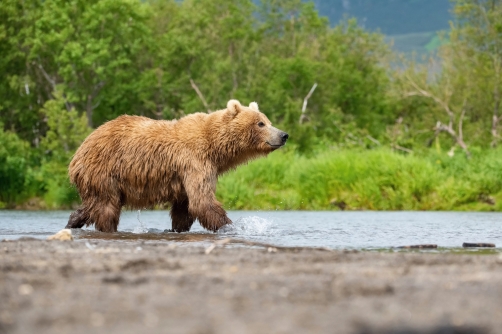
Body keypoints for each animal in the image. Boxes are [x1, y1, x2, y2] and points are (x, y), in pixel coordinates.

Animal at [65, 100, 290, 232]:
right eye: (260, 123)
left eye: (268, 121)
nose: (283, 135)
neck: (215, 147)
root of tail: (78, 152)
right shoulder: (195, 161)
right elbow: (202, 201)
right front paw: (231, 226)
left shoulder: (186, 175)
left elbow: (185, 207)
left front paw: (178, 228)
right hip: (105, 170)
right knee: (106, 208)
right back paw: (107, 228)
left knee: (92, 205)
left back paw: (72, 222)